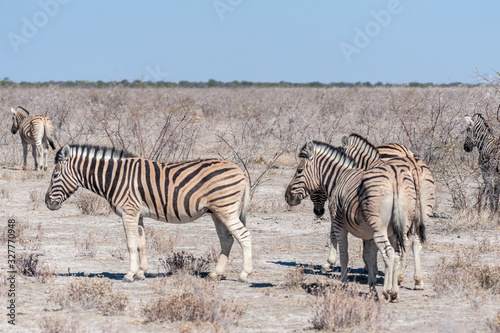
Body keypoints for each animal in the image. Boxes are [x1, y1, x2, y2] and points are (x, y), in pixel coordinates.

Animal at [44, 144, 252, 282]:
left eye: (55, 176)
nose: (47, 203)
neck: (114, 177)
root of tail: (240, 171)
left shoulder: (128, 212)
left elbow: (130, 244)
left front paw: (129, 274)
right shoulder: (138, 214)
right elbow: (141, 243)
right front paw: (141, 272)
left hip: (226, 209)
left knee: (244, 236)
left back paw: (244, 274)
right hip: (217, 212)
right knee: (227, 239)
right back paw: (216, 274)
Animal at [286, 140, 422, 300]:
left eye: (299, 171)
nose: (287, 197)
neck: (339, 178)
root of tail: (395, 181)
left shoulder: (339, 224)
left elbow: (344, 254)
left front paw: (343, 284)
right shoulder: (368, 235)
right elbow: (369, 258)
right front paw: (372, 288)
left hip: (379, 228)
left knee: (389, 253)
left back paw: (386, 291)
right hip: (399, 227)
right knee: (398, 253)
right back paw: (395, 291)